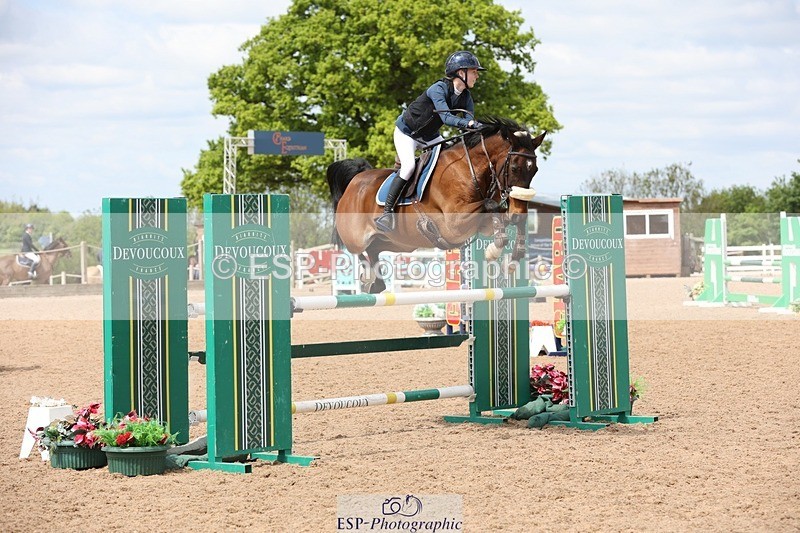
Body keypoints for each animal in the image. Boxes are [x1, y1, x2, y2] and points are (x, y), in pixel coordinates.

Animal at [326, 116, 545, 293]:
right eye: (514, 168)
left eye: (535, 170)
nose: (518, 211)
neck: (469, 168)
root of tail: (356, 180)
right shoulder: (454, 225)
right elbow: (491, 205)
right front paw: (495, 250)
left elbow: (502, 216)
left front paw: (513, 258)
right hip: (356, 237)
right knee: (358, 250)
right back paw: (367, 277)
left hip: (399, 242)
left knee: (374, 249)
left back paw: (377, 284)